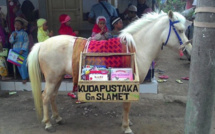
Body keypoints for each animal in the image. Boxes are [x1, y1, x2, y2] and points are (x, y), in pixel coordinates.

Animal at [28, 11, 191, 133]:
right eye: (180, 30)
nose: (188, 50)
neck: (137, 48)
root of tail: (43, 44)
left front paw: (127, 122)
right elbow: (126, 105)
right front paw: (126, 127)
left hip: (58, 77)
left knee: (52, 96)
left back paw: (57, 118)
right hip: (52, 79)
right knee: (45, 97)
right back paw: (48, 123)